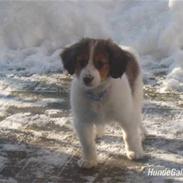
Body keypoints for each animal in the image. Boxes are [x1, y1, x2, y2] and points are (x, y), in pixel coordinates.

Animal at [60, 38, 145, 169]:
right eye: (81, 62)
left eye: (100, 63)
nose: (87, 79)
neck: (97, 95)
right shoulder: (82, 120)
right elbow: (87, 143)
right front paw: (89, 160)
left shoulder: (126, 116)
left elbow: (129, 135)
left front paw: (134, 151)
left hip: (136, 98)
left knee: (137, 118)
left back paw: (142, 133)